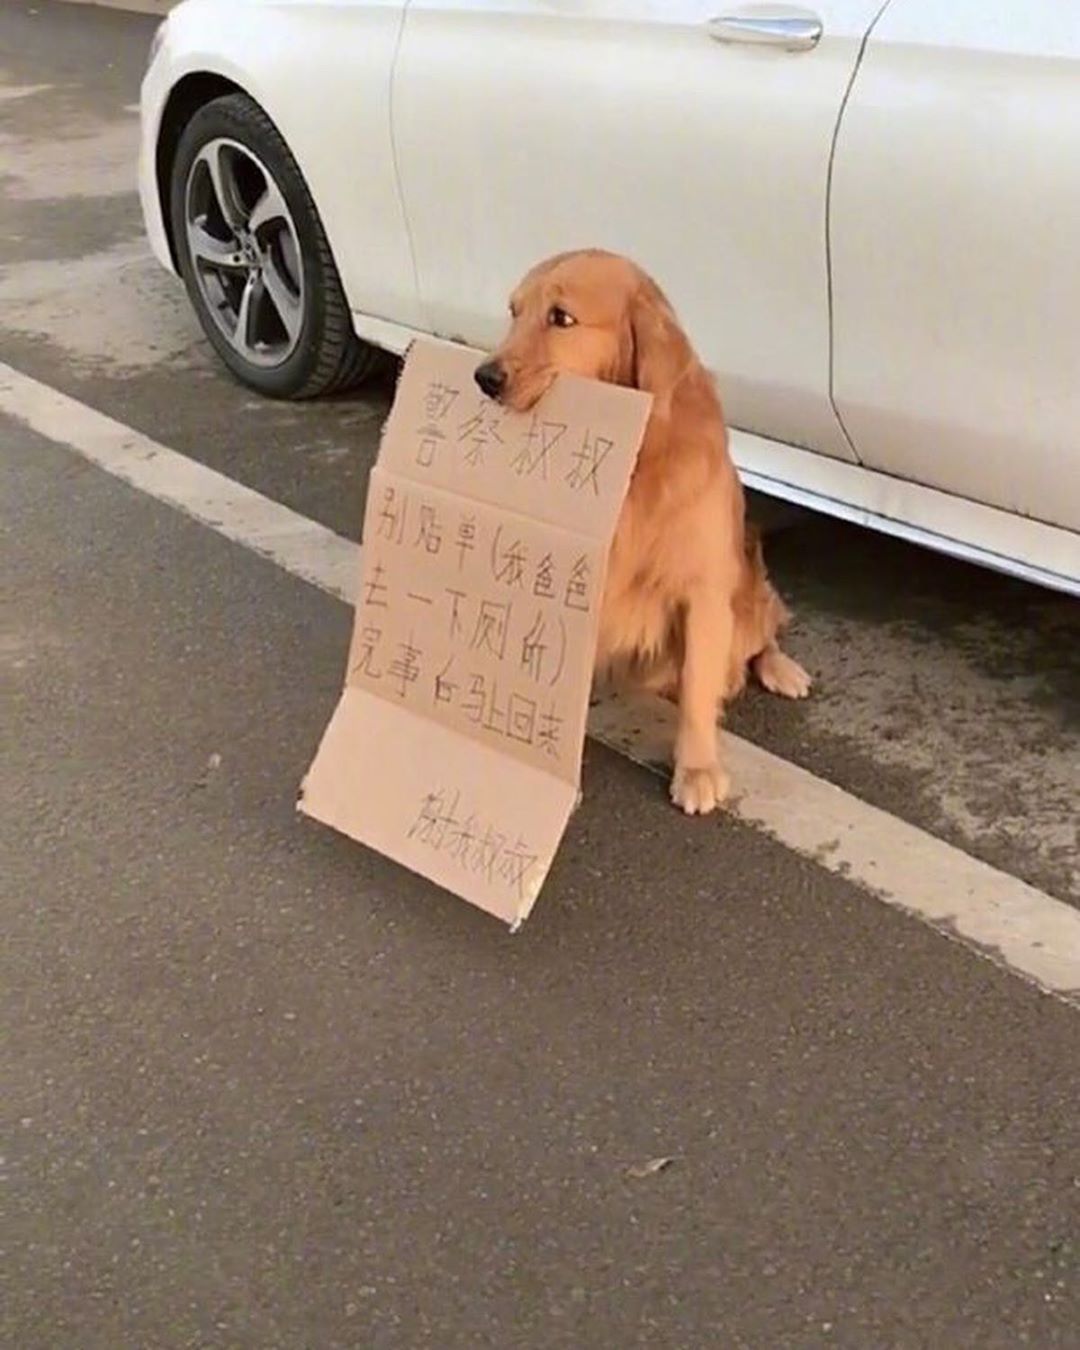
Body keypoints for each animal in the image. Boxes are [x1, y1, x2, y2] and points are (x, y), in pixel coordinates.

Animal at [475, 249, 810, 810]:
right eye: (514, 311)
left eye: (560, 317)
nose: (484, 377)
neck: (632, 459)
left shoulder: (702, 589)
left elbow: (698, 687)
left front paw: (697, 769)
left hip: (743, 587)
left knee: (758, 635)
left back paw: (780, 670)